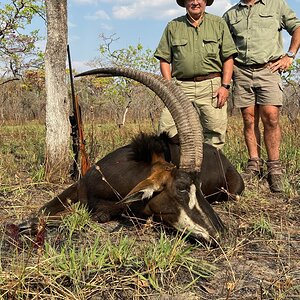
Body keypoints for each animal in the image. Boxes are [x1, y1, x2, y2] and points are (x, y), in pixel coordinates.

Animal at [19, 68, 244, 246]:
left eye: (200, 188)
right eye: (181, 188)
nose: (220, 234)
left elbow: (89, 214)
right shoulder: (77, 187)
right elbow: (44, 209)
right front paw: (25, 223)